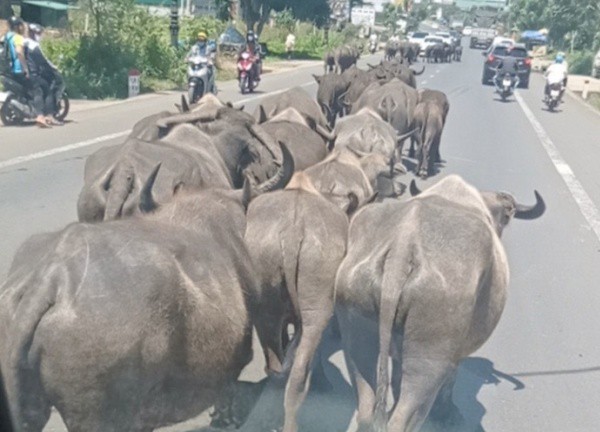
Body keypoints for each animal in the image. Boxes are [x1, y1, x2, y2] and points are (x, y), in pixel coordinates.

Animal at [336, 175, 548, 432]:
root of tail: (401, 249)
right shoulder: (453, 356)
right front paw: (447, 412)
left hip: (357, 335)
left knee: (367, 408)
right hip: (428, 359)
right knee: (403, 416)